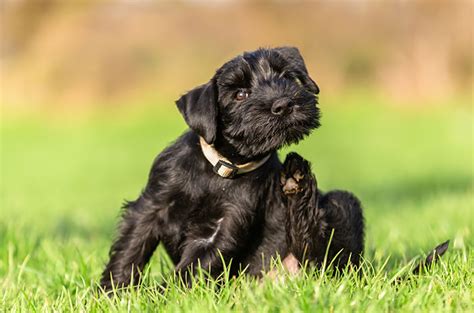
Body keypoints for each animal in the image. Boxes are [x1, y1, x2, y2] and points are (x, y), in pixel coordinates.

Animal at [99, 47, 360, 290]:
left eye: (286, 77)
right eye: (240, 94)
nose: (284, 104)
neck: (221, 168)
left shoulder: (224, 225)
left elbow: (191, 267)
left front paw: (162, 296)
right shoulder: (152, 206)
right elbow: (131, 249)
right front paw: (112, 292)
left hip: (342, 203)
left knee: (321, 257)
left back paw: (298, 180)